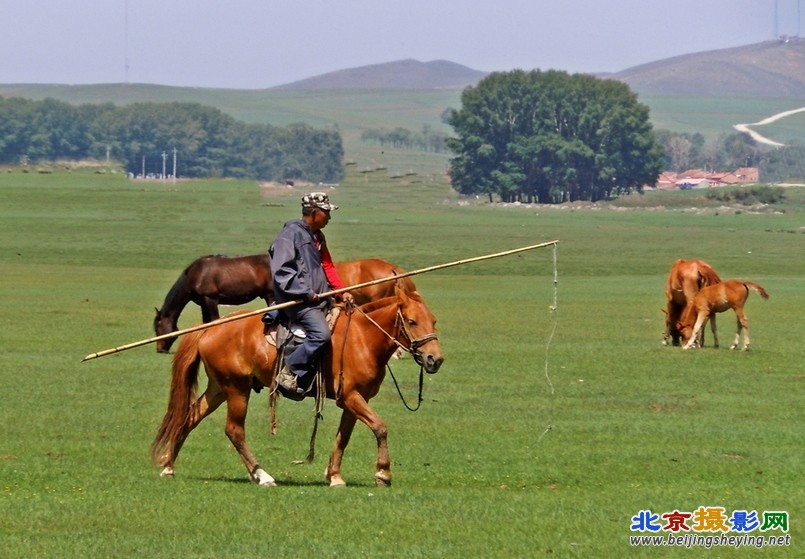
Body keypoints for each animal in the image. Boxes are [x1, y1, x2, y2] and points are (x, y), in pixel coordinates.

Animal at [148, 286, 442, 488]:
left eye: (434, 320)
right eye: (412, 321)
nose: (434, 359)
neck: (363, 338)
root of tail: (210, 328)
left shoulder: (354, 400)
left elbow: (343, 437)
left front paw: (334, 476)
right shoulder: (351, 396)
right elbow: (380, 427)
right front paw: (383, 473)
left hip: (219, 388)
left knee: (189, 418)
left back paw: (169, 466)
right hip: (236, 390)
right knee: (234, 430)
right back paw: (262, 475)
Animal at [154, 256, 414, 352]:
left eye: (157, 327)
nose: (160, 348)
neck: (195, 274)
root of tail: (392, 268)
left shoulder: (210, 299)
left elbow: (211, 320)